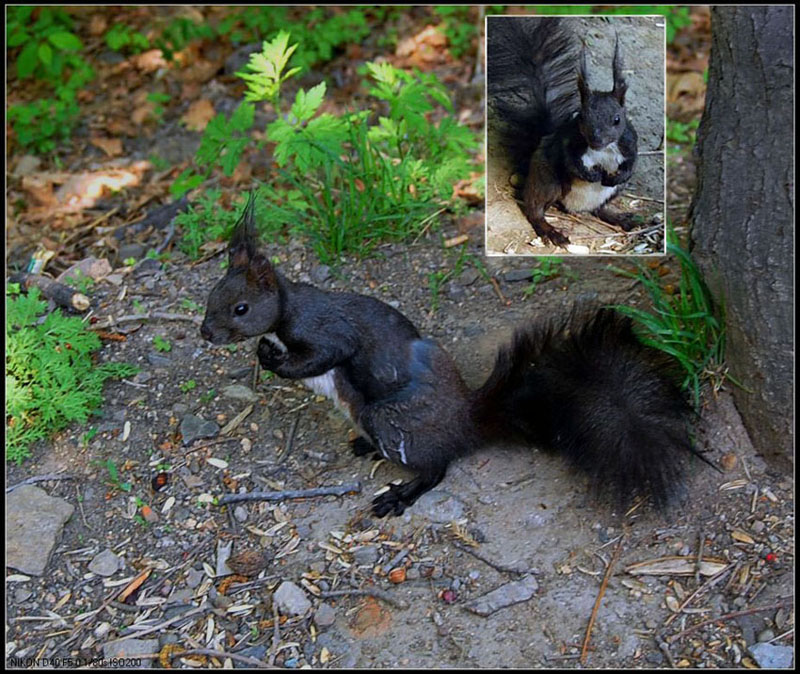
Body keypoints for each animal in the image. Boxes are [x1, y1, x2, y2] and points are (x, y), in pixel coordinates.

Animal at [198, 194, 708, 516]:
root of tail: (466, 424)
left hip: (391, 419)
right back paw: (366, 445)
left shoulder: (327, 331)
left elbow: (325, 355)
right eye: (210, 296)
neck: (287, 310)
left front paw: (272, 359)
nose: (206, 332)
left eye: (241, 308)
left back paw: (401, 493)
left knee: (436, 468)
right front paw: (264, 353)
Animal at [484, 16, 640, 247]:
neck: (602, 151)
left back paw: (621, 218)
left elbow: (631, 163)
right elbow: (571, 161)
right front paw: (590, 174)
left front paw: (617, 175)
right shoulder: (568, 142)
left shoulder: (629, 142)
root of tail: (575, 207)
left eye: (617, 119)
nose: (596, 140)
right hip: (548, 181)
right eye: (581, 117)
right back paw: (551, 231)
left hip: (612, 193)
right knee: (535, 210)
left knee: (599, 209)